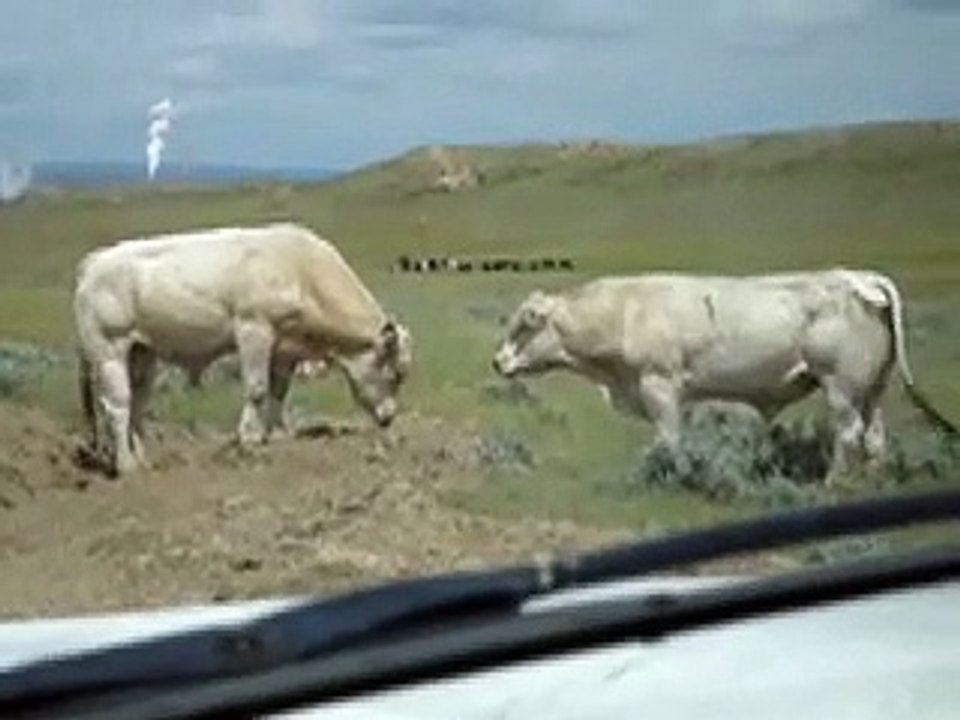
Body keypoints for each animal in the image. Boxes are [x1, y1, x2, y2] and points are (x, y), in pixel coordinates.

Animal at [73, 222, 414, 477]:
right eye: (395, 374)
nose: (389, 418)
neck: (301, 272)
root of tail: (95, 260)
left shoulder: (285, 348)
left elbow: (279, 390)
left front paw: (278, 434)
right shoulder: (254, 329)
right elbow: (257, 389)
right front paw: (249, 439)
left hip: (142, 352)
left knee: (139, 403)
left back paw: (144, 459)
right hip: (109, 349)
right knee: (118, 405)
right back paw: (127, 466)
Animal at [492, 269, 956, 481]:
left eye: (524, 326)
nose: (497, 361)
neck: (624, 312)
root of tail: (858, 278)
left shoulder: (659, 387)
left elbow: (668, 438)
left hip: (840, 387)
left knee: (848, 433)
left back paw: (833, 481)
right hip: (872, 389)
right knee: (875, 435)